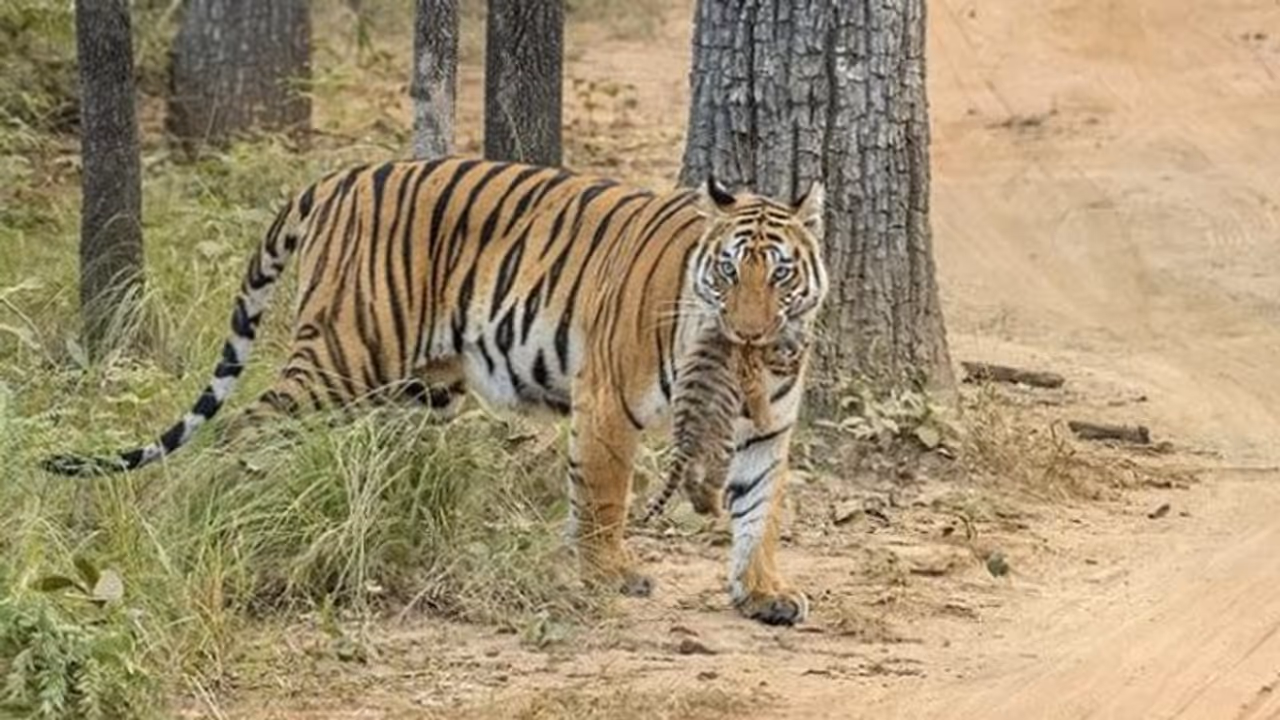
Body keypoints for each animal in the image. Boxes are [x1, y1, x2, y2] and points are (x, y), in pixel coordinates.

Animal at [44, 158, 829, 626]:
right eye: (728, 272)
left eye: (781, 274)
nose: (750, 333)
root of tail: (339, 175)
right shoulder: (609, 399)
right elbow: (604, 497)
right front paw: (609, 573)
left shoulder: (769, 428)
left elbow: (759, 510)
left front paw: (762, 592)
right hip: (341, 358)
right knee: (243, 431)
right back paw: (213, 517)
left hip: (415, 388)